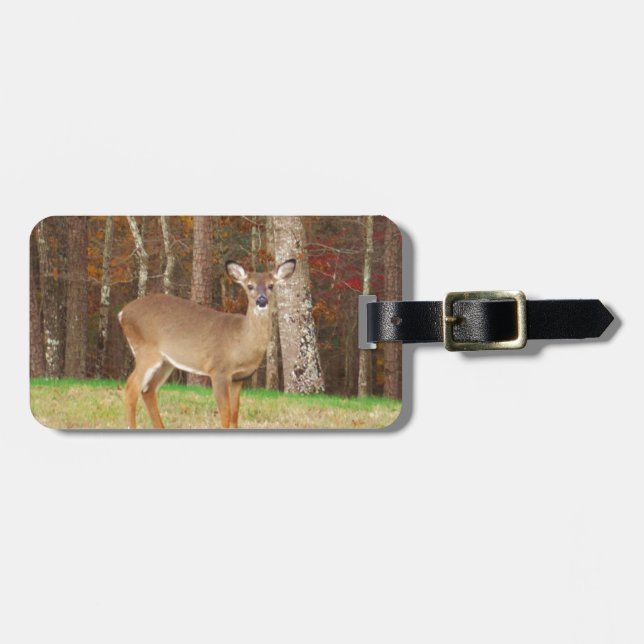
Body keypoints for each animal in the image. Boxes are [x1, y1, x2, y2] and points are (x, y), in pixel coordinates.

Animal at [118, 259, 296, 429]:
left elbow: (234, 414)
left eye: (271, 285)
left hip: (166, 362)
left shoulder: (238, 378)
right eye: (250, 286)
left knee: (148, 390)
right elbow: (225, 414)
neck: (240, 342)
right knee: (131, 388)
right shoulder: (218, 370)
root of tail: (122, 313)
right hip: (146, 351)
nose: (261, 300)